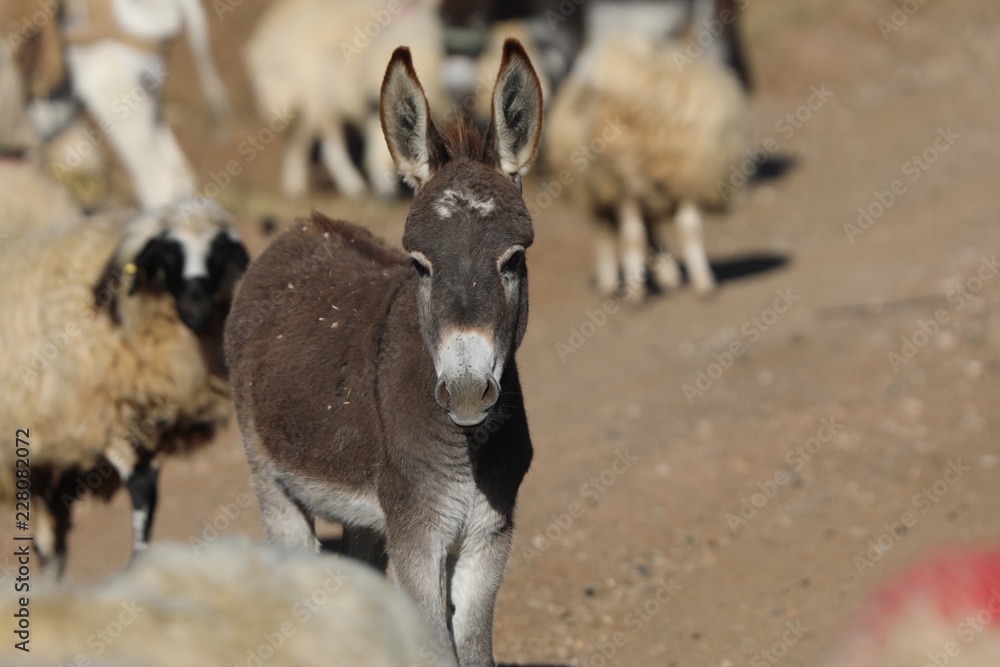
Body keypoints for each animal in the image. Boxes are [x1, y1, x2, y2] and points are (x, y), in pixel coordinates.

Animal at [0, 198, 249, 575]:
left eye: (219, 250)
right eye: (168, 251)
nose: (197, 303)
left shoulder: (154, 429)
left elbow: (150, 495)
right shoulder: (103, 418)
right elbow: (141, 486)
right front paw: (137, 564)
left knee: (52, 515)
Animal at [544, 33, 751, 301]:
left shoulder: (687, 179)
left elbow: (689, 231)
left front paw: (703, 283)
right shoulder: (623, 186)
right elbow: (633, 236)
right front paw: (635, 292)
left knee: (652, 228)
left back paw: (669, 275)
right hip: (598, 190)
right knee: (605, 231)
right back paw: (610, 281)